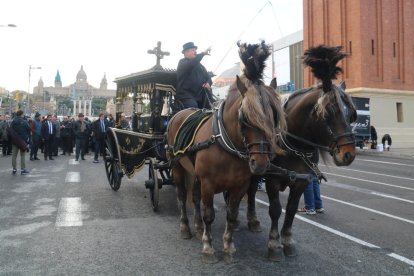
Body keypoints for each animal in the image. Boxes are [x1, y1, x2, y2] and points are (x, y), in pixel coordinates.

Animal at [167, 41, 286, 264]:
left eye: (274, 116)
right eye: (245, 117)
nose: (261, 163)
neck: (225, 144)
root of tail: (178, 114)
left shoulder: (240, 185)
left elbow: (231, 215)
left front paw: (228, 246)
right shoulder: (208, 183)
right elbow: (209, 215)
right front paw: (208, 247)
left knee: (193, 197)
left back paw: (197, 227)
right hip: (177, 167)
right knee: (181, 195)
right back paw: (186, 227)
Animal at [244, 45, 358, 260]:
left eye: (351, 114)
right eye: (329, 112)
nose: (348, 154)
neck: (294, 145)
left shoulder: (302, 182)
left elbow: (290, 210)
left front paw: (288, 241)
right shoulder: (272, 179)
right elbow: (275, 209)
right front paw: (274, 244)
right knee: (251, 191)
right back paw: (252, 220)